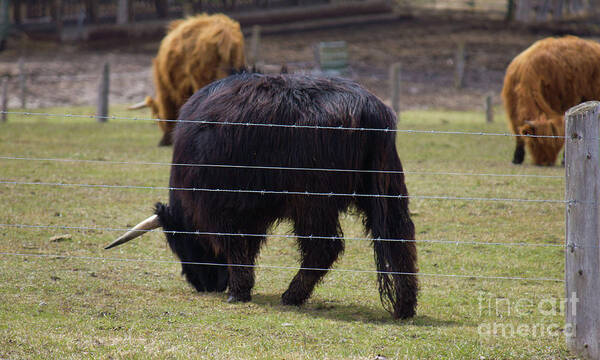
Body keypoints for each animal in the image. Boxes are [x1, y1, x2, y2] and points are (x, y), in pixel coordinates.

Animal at [106, 72, 418, 318]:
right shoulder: (252, 211)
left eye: (179, 243)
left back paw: (291, 296)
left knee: (324, 246)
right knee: (399, 236)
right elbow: (248, 245)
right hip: (387, 188)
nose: (205, 285)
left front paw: (238, 291)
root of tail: (369, 109)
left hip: (312, 201)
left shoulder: (221, 207)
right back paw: (405, 305)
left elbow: (235, 244)